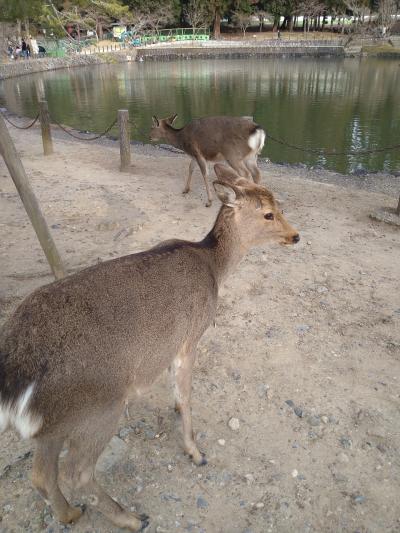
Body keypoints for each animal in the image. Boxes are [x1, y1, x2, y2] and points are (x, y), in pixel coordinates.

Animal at [0, 164, 298, 528]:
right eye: (269, 213)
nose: (296, 235)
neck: (214, 268)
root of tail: (13, 376)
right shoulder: (189, 338)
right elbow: (186, 396)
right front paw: (195, 452)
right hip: (100, 406)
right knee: (76, 471)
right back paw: (131, 518)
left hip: (56, 421)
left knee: (42, 474)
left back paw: (70, 514)